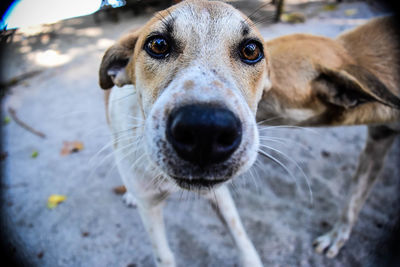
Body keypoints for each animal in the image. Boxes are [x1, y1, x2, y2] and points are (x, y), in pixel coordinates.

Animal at [98, 1, 270, 266]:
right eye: (158, 44)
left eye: (251, 50)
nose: (206, 130)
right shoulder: (149, 207)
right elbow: (164, 256)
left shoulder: (219, 193)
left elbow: (239, 234)